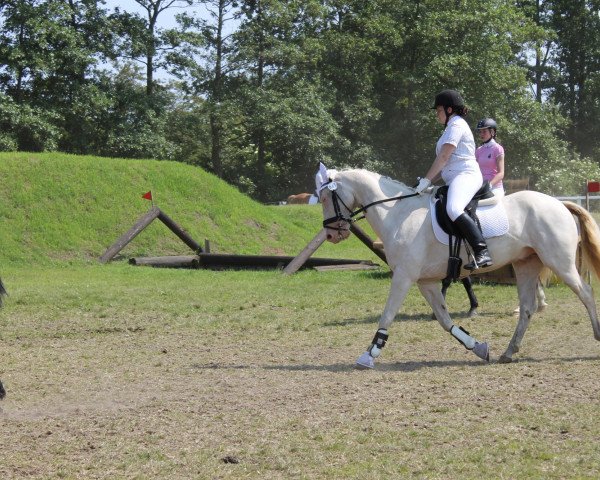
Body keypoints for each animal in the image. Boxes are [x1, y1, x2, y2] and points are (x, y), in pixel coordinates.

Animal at [318, 167, 600, 370]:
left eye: (325, 197)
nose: (331, 234)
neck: (398, 214)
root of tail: (560, 203)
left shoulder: (404, 276)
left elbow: (387, 315)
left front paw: (369, 354)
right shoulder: (426, 282)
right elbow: (445, 320)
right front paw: (478, 347)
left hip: (559, 262)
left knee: (586, 293)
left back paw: (597, 338)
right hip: (526, 265)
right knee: (528, 308)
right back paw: (508, 352)